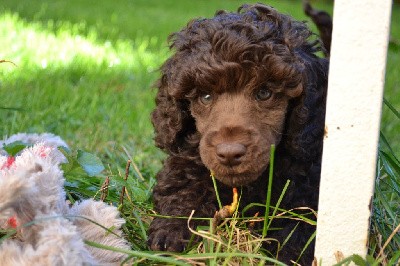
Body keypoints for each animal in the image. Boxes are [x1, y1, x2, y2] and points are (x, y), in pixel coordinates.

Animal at [148, 3, 330, 264]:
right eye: (205, 96)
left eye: (264, 93)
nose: (230, 154)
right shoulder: (187, 158)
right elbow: (181, 189)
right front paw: (170, 232)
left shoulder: (307, 184)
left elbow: (300, 226)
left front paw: (288, 255)